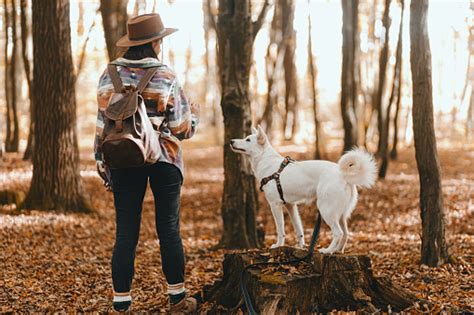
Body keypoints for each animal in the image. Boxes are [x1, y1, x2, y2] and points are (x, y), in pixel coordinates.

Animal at [231, 125, 378, 254]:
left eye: (248, 140)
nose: (231, 141)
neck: (266, 161)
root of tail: (343, 175)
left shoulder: (275, 205)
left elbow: (280, 230)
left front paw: (278, 245)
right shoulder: (291, 206)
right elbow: (299, 229)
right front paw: (301, 247)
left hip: (325, 209)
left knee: (338, 233)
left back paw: (328, 251)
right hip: (340, 214)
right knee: (346, 234)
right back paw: (338, 250)